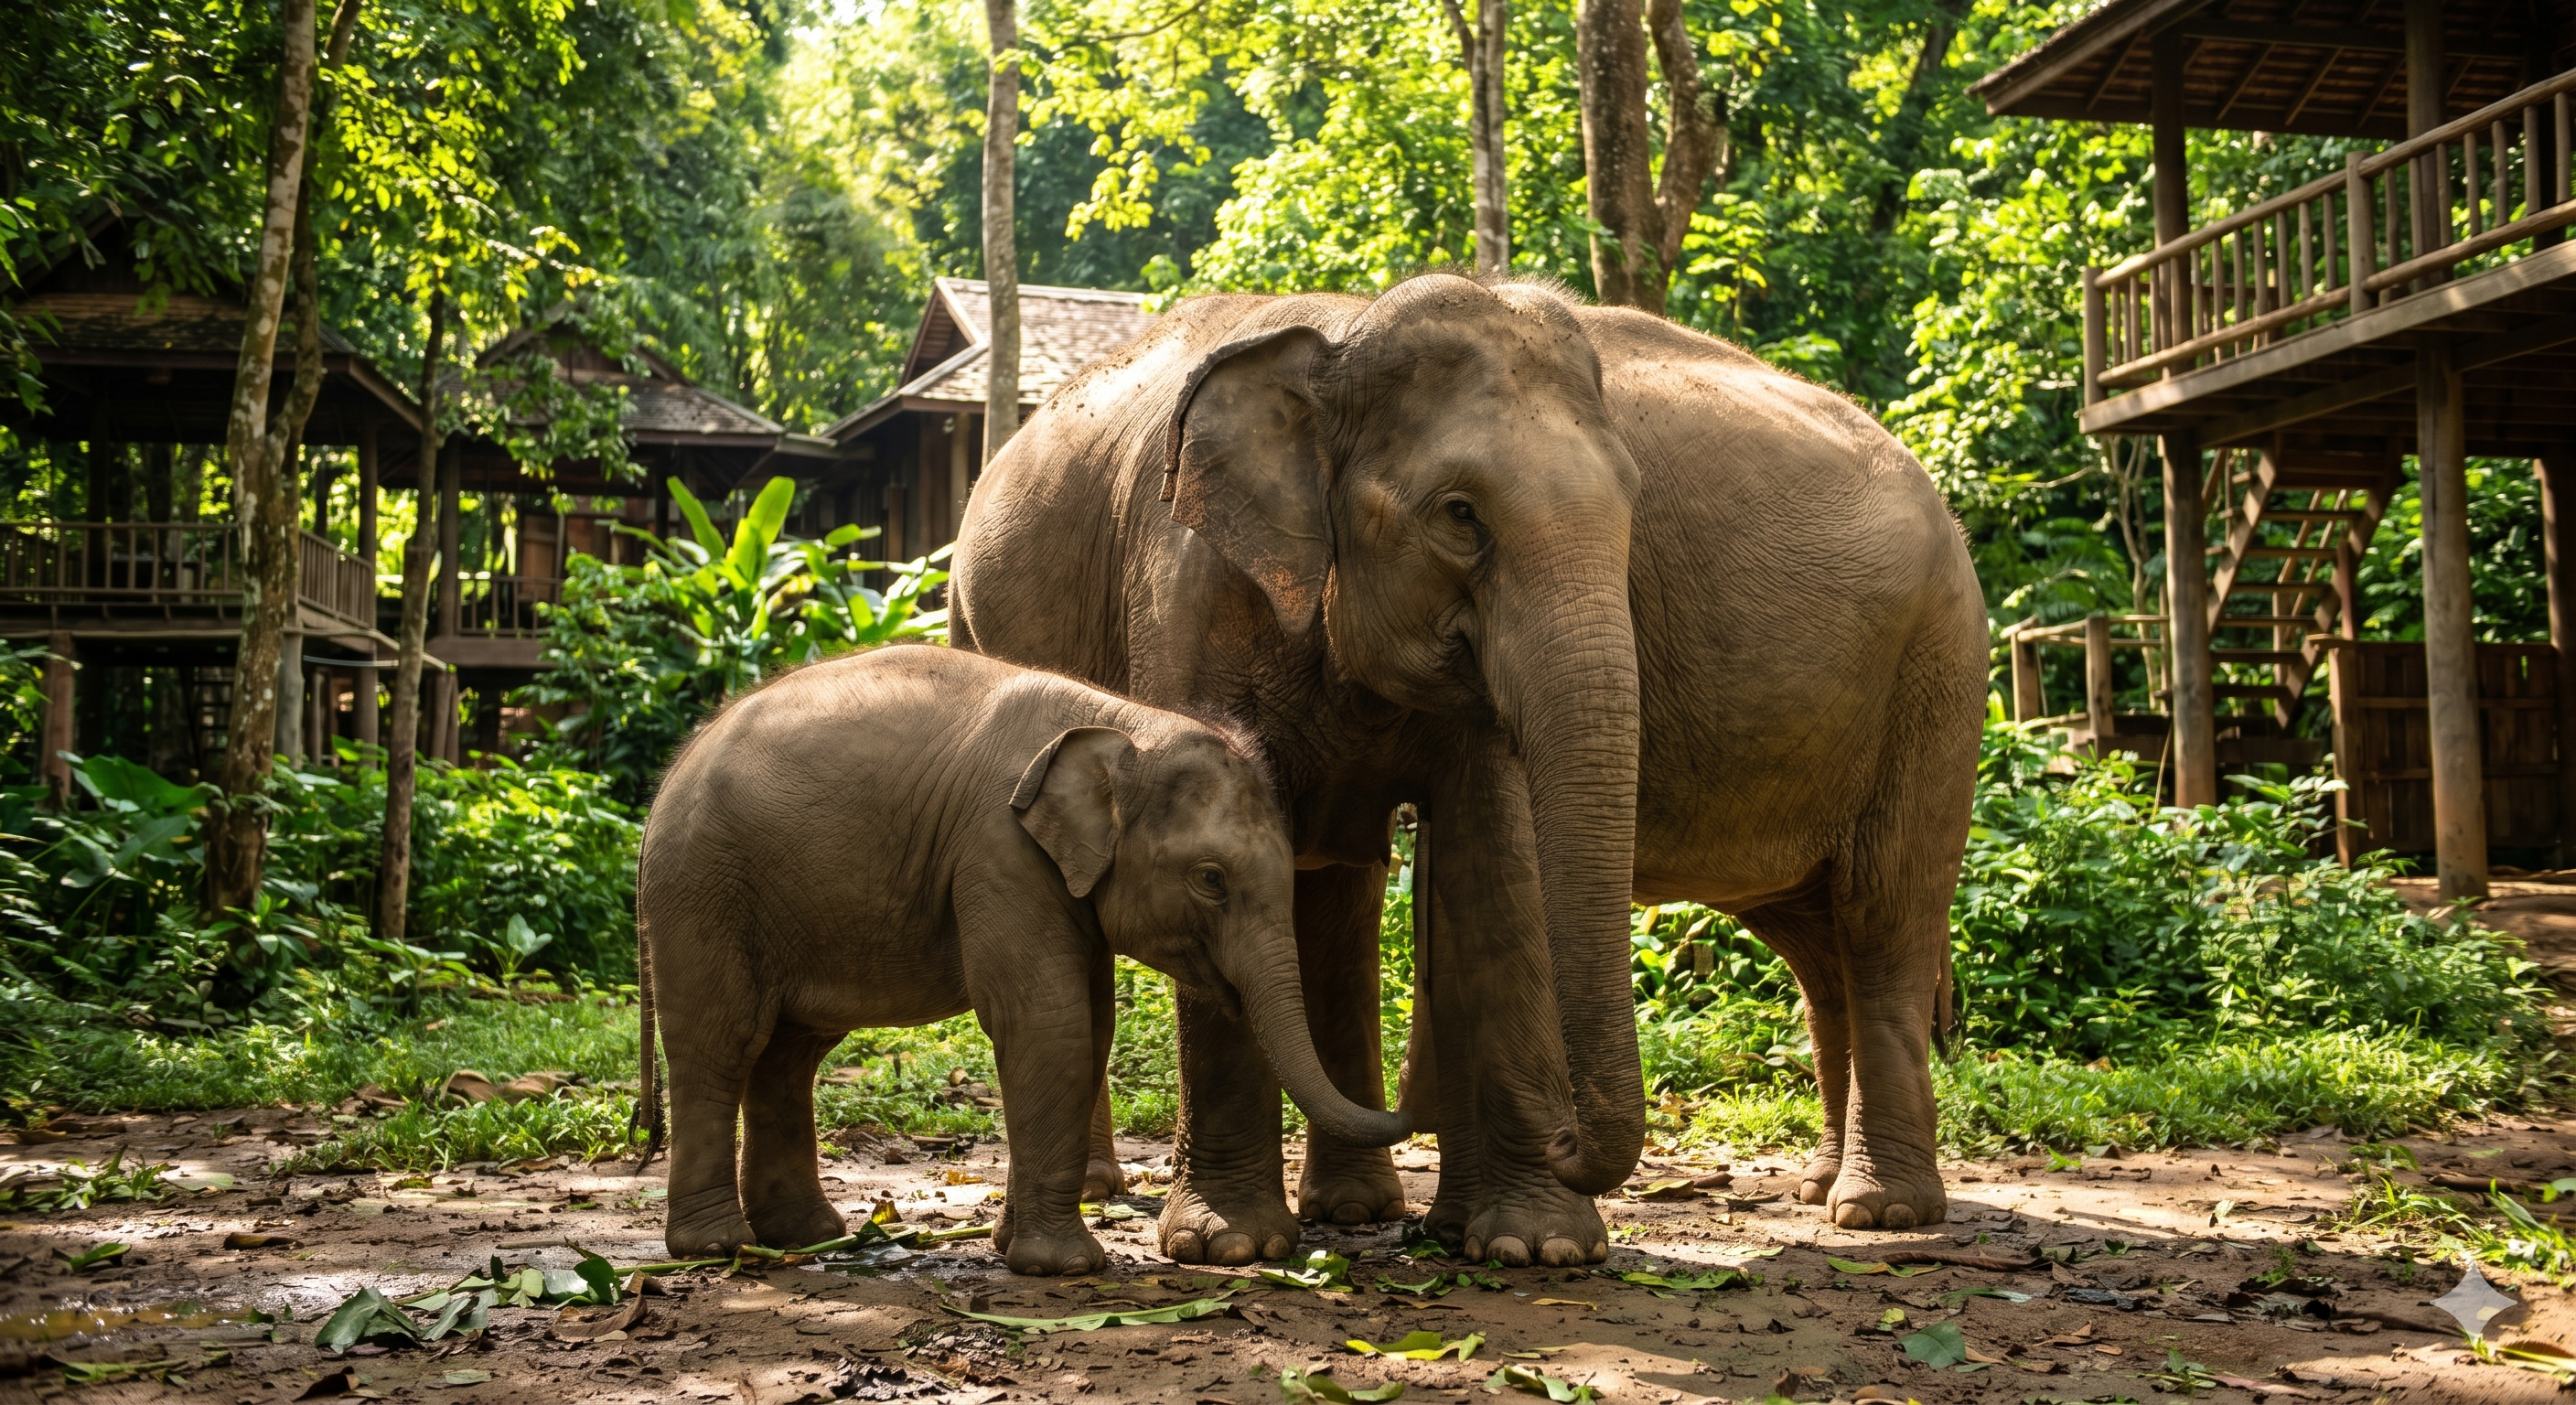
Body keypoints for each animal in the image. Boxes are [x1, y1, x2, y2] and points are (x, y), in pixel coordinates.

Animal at [632, 644, 1410, 1273]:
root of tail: (664, 782)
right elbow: (1047, 1022)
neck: (1125, 725)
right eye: (1211, 880)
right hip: (703, 891)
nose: (1414, 1091)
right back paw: (717, 1250)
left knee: (790, 1053)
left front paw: (1013, 1250)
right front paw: (1063, 1269)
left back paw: (805, 1237)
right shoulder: (999, 852)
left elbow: (1089, 1025)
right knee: (721, 1043)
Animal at [950, 275, 1985, 1266]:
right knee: (1823, 934)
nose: (1570, 1142)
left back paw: (1873, 1210)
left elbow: (1493, 860)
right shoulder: (1190, 588)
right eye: (1458, 515)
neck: (1341, 339)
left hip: (1935, 675)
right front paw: (1228, 1246)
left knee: (1877, 914)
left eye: (1634, 515)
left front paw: (1532, 1243)